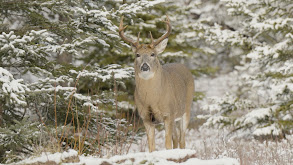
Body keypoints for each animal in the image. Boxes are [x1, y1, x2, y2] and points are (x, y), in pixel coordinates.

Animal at [117, 15, 193, 152]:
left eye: (153, 54)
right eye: (137, 55)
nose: (145, 66)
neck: (152, 99)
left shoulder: (168, 114)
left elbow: (167, 145)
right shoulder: (146, 118)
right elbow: (151, 147)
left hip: (186, 109)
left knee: (182, 140)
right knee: (176, 139)